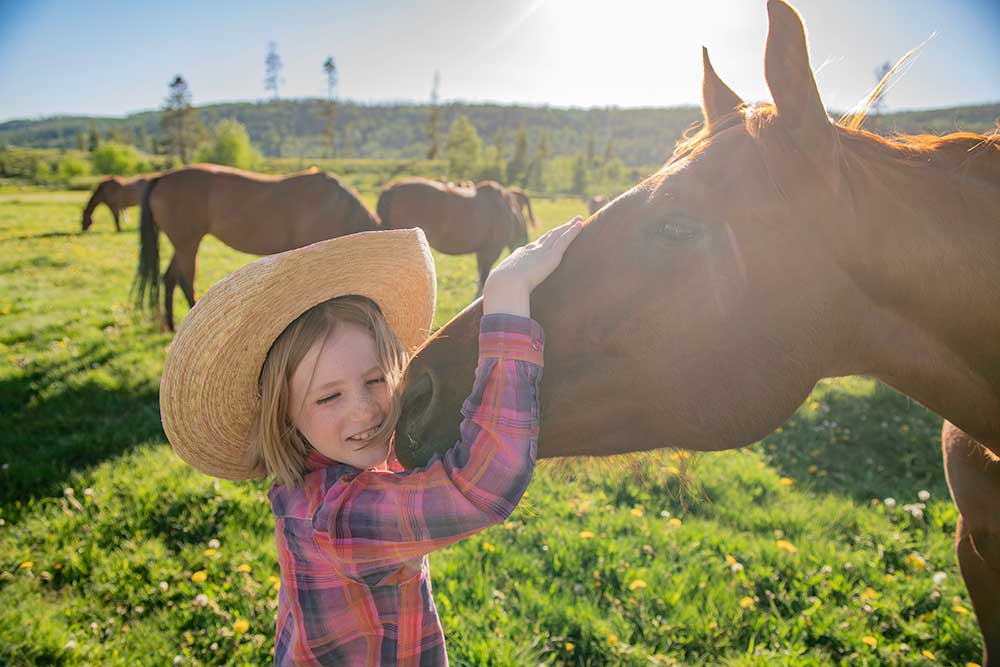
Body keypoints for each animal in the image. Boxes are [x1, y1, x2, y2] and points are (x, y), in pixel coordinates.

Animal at [137, 164, 378, 332]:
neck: (337, 207)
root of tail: (162, 177)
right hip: (188, 244)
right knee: (186, 281)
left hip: (182, 245)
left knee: (169, 278)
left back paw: (171, 325)